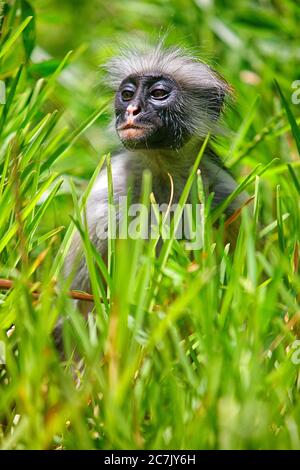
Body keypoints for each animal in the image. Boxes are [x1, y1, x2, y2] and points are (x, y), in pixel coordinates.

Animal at [61, 42, 248, 304]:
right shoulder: (101, 203)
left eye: (158, 93)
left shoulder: (229, 200)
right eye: (127, 95)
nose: (132, 109)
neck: (162, 173)